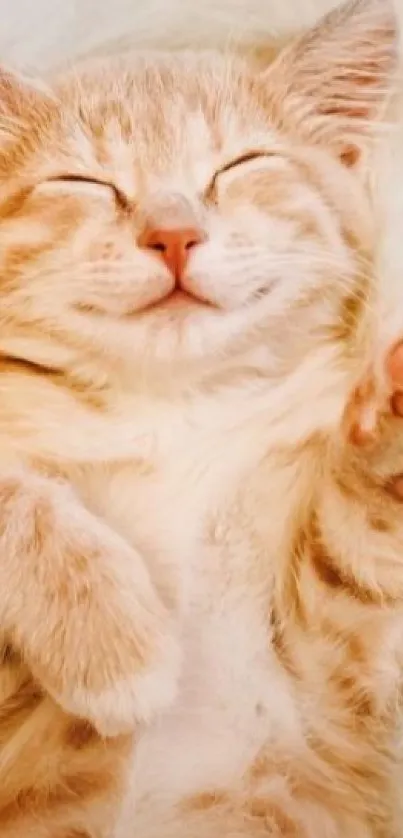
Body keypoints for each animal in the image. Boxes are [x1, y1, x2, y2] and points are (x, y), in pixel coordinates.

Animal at [0, 1, 400, 838]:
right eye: (84, 181)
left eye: (238, 167)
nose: (173, 234)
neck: (173, 421)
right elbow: (15, 487)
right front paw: (113, 646)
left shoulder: (335, 703)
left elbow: (359, 547)